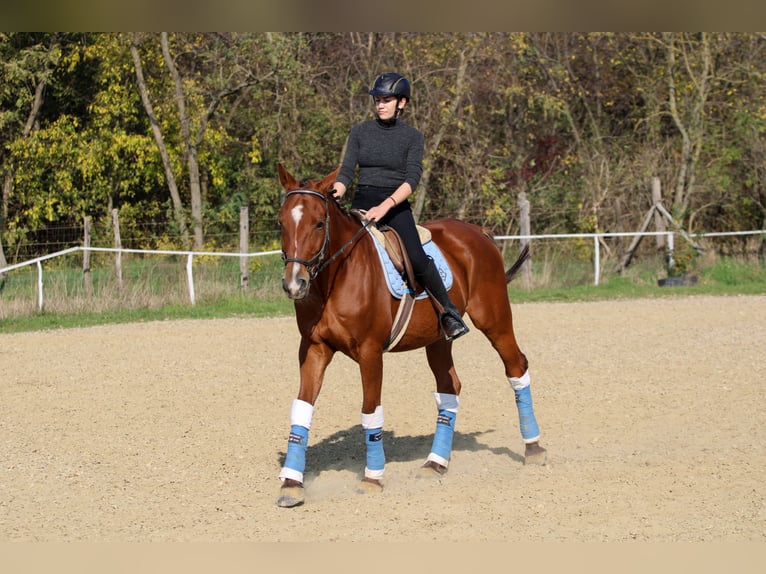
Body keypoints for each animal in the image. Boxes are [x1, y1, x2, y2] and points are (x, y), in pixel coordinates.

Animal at [276, 163, 544, 508]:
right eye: (281, 222)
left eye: (319, 222)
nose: (294, 284)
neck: (336, 279)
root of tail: (477, 233)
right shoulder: (313, 348)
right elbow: (302, 408)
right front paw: (291, 483)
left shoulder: (370, 352)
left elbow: (370, 411)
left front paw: (372, 478)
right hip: (438, 340)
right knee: (449, 388)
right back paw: (435, 462)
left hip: (494, 318)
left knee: (516, 367)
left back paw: (533, 447)